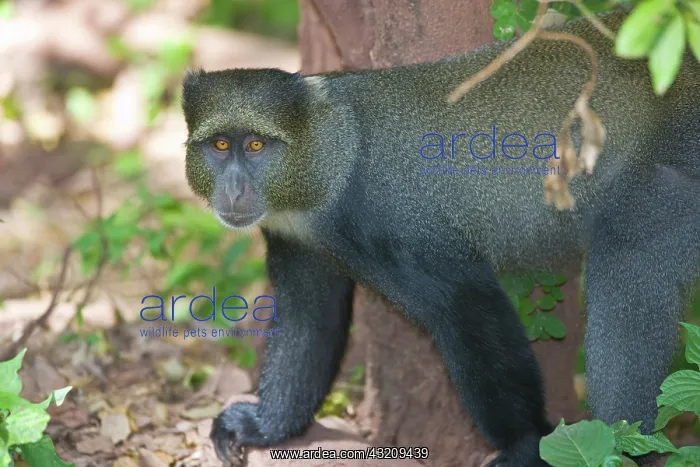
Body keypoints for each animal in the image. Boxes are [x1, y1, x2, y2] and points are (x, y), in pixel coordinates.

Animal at [181, 9, 700, 467]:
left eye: (255, 146)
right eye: (220, 145)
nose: (234, 189)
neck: (330, 158)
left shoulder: (397, 221)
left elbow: (467, 305)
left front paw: (525, 446)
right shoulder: (295, 234)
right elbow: (309, 318)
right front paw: (264, 426)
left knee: (630, 261)